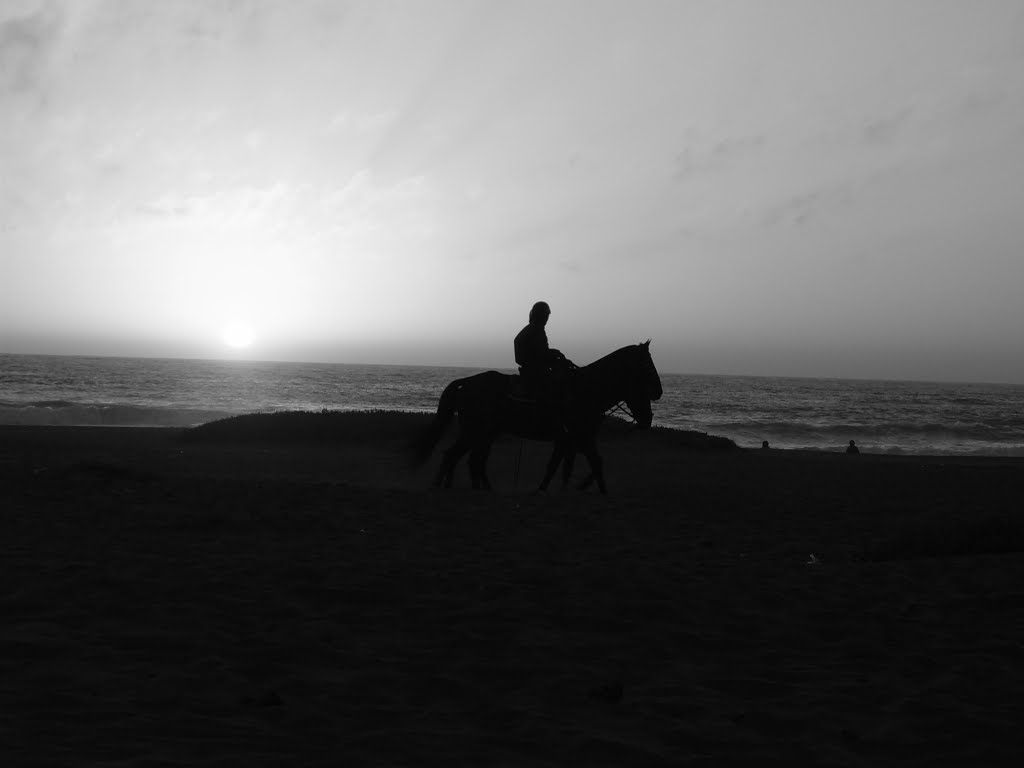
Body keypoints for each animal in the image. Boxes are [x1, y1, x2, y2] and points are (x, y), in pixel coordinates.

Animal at [409, 342, 663, 495]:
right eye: (648, 365)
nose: (659, 392)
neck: (585, 390)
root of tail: (466, 383)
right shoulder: (577, 439)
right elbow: (585, 464)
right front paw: (596, 491)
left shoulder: (571, 441)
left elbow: (567, 466)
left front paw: (559, 489)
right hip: (475, 431)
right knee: (460, 457)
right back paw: (450, 487)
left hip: (482, 433)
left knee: (469, 459)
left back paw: (469, 488)